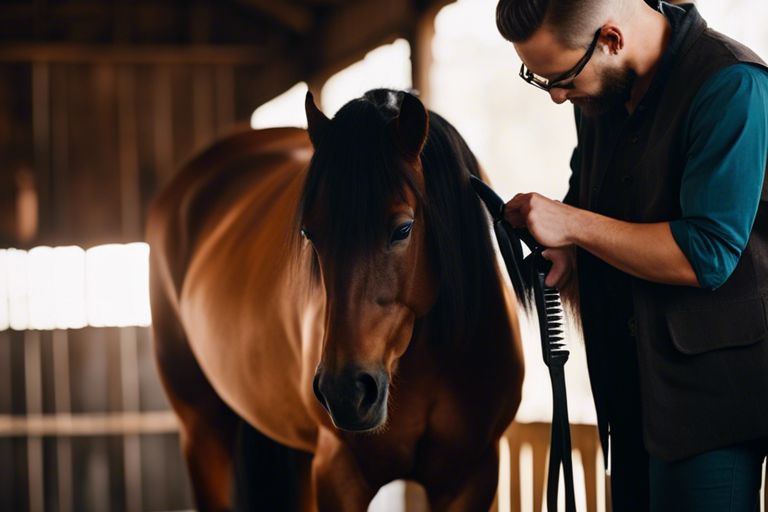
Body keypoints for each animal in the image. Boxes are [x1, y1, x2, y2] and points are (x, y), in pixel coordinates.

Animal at [147, 90, 524, 510]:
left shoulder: (472, 476)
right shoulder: (339, 471)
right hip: (202, 431)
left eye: (403, 229)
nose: (345, 393)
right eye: (309, 233)